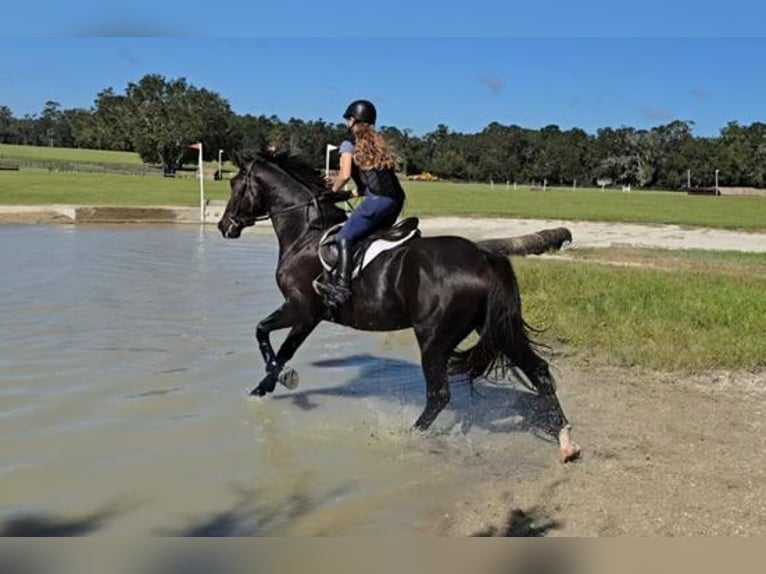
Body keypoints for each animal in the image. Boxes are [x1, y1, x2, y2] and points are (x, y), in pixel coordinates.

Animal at [219, 152, 580, 464]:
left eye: (235, 184)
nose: (225, 226)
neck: (305, 233)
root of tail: (484, 257)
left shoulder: (300, 307)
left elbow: (263, 332)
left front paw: (281, 379)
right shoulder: (311, 316)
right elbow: (285, 349)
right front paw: (264, 387)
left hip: (433, 338)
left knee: (439, 394)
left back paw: (409, 435)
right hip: (495, 328)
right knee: (539, 370)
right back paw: (566, 440)